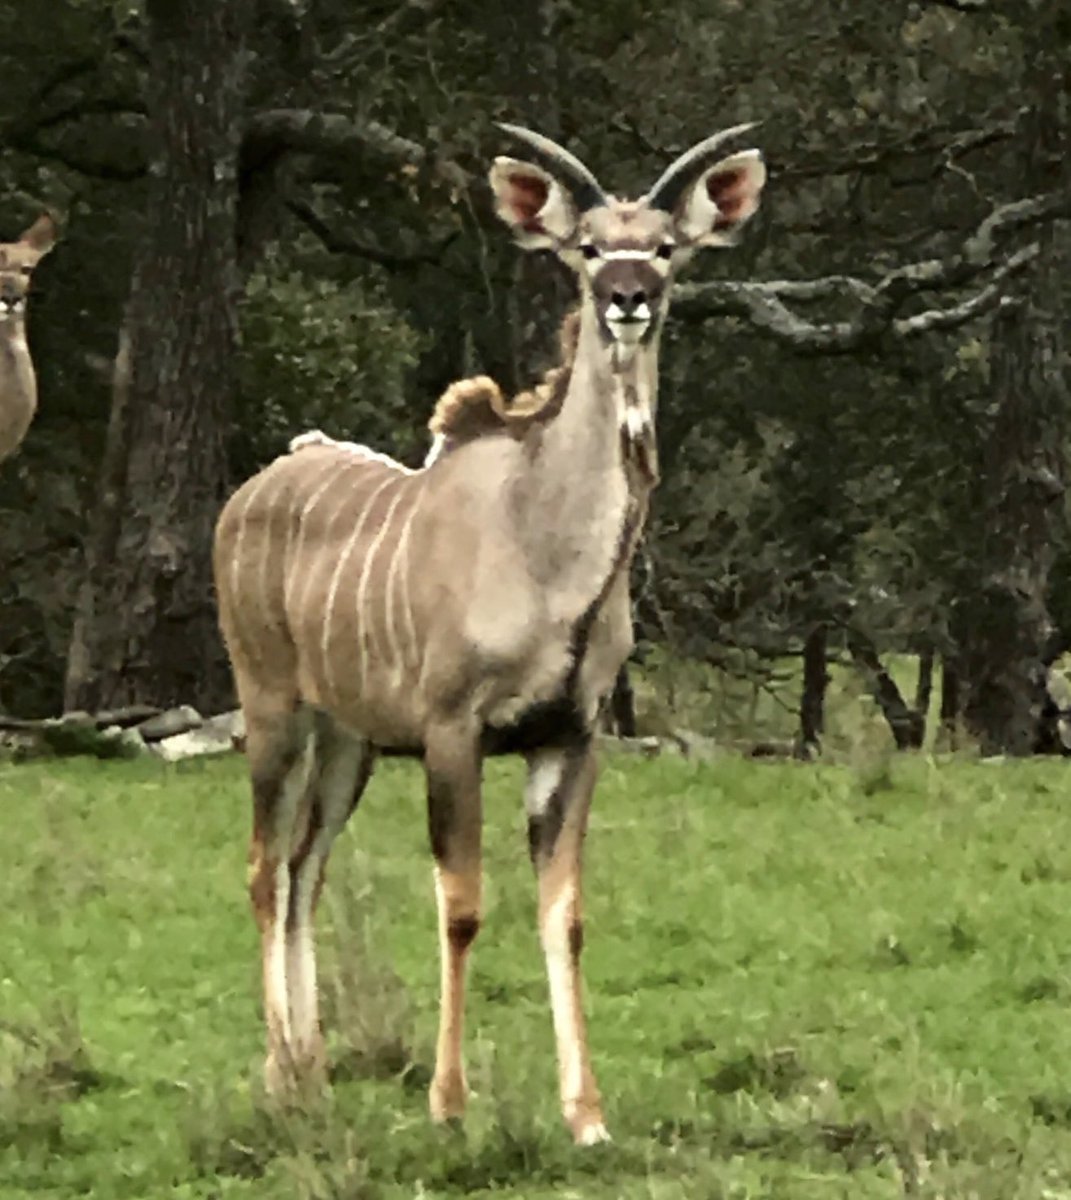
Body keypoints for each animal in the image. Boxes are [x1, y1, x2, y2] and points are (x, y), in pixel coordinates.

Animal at [213, 122, 766, 1144]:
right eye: (585, 246)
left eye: (666, 246)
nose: (627, 297)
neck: (545, 551)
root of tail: (257, 485)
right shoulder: (451, 729)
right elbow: (463, 905)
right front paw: (449, 1104)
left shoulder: (570, 737)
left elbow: (565, 914)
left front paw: (585, 1115)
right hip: (271, 705)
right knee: (266, 867)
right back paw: (277, 1077)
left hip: (348, 739)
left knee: (308, 865)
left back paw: (312, 1072)